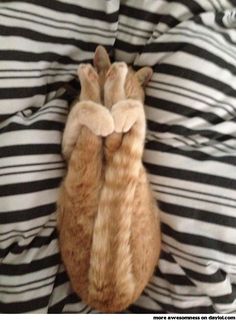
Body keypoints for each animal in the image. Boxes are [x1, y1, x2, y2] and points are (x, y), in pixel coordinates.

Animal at [56, 45, 160, 310]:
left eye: (131, 92)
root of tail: (111, 296)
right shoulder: (68, 147)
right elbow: (83, 108)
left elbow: (94, 109)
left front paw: (113, 106)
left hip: (84, 163)